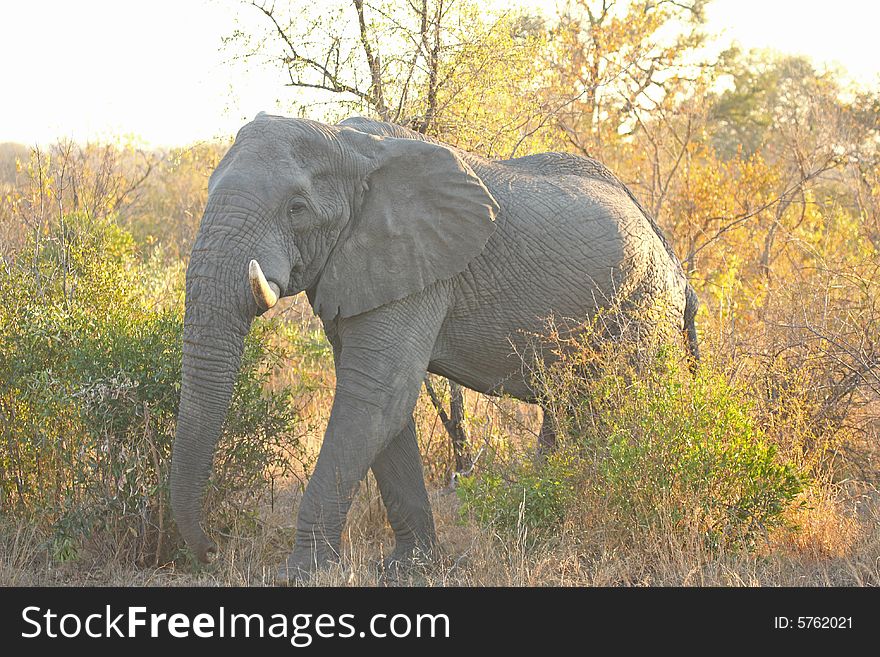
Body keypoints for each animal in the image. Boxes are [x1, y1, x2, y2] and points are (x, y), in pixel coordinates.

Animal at [168, 113, 696, 580]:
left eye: (297, 208)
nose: (212, 551)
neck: (350, 147)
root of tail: (669, 249)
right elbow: (382, 407)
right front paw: (409, 568)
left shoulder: (416, 264)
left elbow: (375, 396)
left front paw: (299, 574)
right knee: (567, 408)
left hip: (642, 306)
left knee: (612, 407)